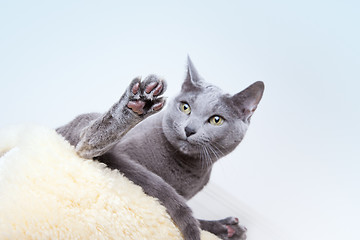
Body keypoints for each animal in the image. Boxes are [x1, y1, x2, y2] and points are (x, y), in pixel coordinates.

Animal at [57, 58, 264, 240]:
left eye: (216, 120)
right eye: (185, 107)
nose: (189, 130)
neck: (181, 168)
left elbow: (196, 220)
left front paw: (227, 229)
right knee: (84, 142)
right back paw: (138, 102)